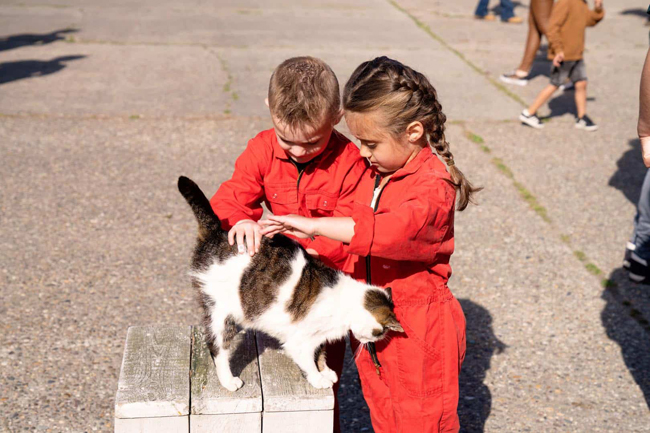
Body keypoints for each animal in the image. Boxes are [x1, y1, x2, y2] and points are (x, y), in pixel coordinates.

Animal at [177, 176, 400, 392]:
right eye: (380, 333)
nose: (369, 342)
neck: (344, 302)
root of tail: (216, 233)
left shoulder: (318, 337)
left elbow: (320, 351)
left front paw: (325, 370)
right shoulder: (300, 340)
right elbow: (308, 361)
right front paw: (318, 378)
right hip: (221, 312)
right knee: (217, 346)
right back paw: (228, 380)